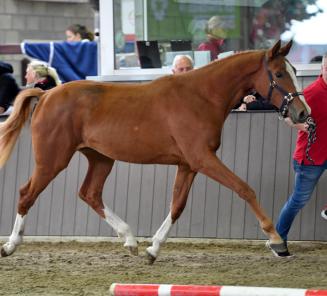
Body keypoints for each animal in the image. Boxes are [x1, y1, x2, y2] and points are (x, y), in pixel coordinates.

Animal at [0, 40, 310, 262]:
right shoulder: (203, 159)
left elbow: (177, 205)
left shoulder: (188, 164)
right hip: (52, 160)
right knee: (27, 194)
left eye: (295, 72)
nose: (302, 113)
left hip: (101, 158)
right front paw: (277, 242)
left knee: (90, 193)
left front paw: (153, 250)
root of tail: (46, 95)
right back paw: (11, 245)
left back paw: (130, 241)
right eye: (279, 73)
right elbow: (245, 188)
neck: (201, 96)